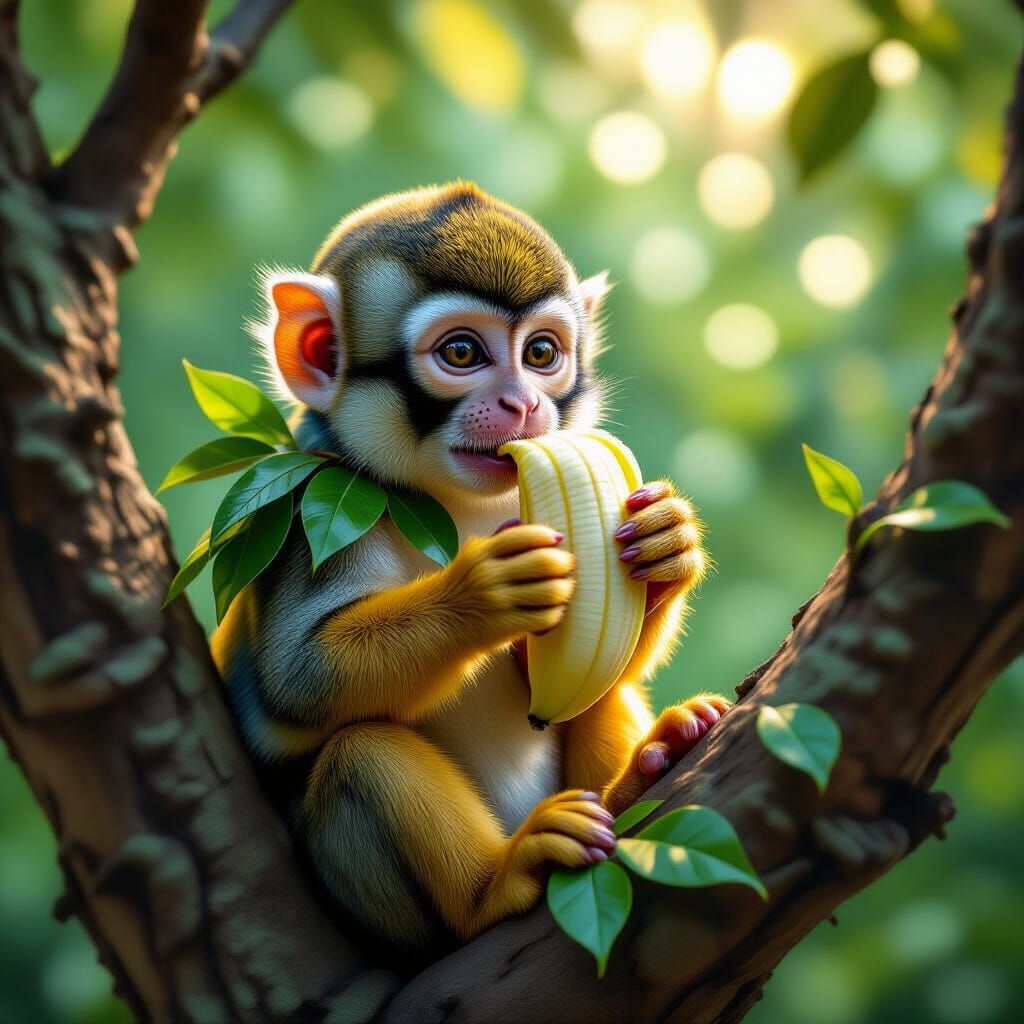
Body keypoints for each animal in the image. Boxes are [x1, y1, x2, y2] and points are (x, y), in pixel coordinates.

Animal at [210, 182, 731, 950]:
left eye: (542, 353)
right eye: (462, 352)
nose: (524, 403)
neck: (454, 504)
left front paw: (670, 547)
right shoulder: (310, 506)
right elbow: (299, 678)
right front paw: (483, 593)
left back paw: (643, 772)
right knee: (363, 753)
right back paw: (496, 886)